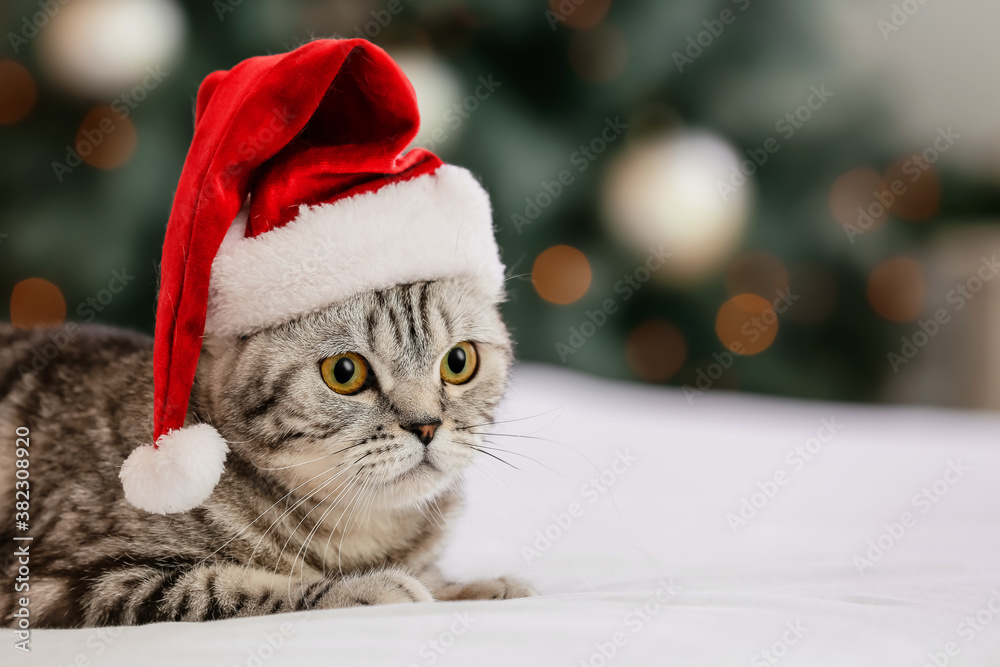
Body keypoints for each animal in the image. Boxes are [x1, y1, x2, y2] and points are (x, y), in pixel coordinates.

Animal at [0, 276, 536, 628]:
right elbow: (226, 587)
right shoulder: (61, 585)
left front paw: (473, 588)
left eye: (459, 361)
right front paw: (371, 587)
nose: (426, 425)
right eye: (345, 372)